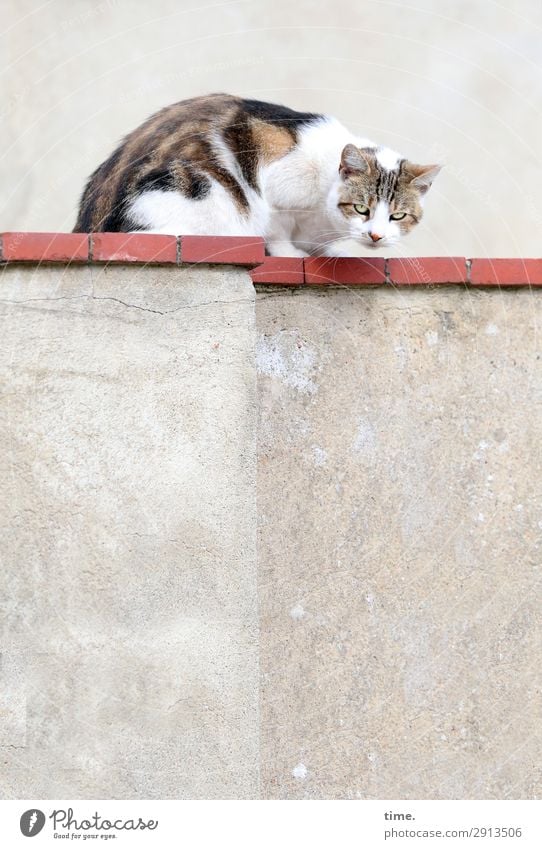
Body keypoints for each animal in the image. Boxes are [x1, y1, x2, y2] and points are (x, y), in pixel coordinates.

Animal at [75, 93, 442, 256]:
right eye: (362, 208)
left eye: (398, 216)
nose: (376, 236)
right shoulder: (275, 190)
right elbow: (277, 231)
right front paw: (289, 254)